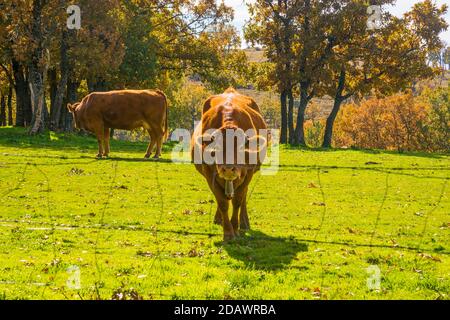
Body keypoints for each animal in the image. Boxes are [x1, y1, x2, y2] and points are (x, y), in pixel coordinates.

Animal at [191, 87, 268, 240]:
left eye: (241, 147)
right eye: (216, 147)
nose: (227, 169)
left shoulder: (248, 173)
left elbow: (238, 200)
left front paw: (235, 227)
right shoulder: (209, 173)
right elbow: (222, 202)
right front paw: (228, 232)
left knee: (242, 196)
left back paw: (244, 222)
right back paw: (219, 219)